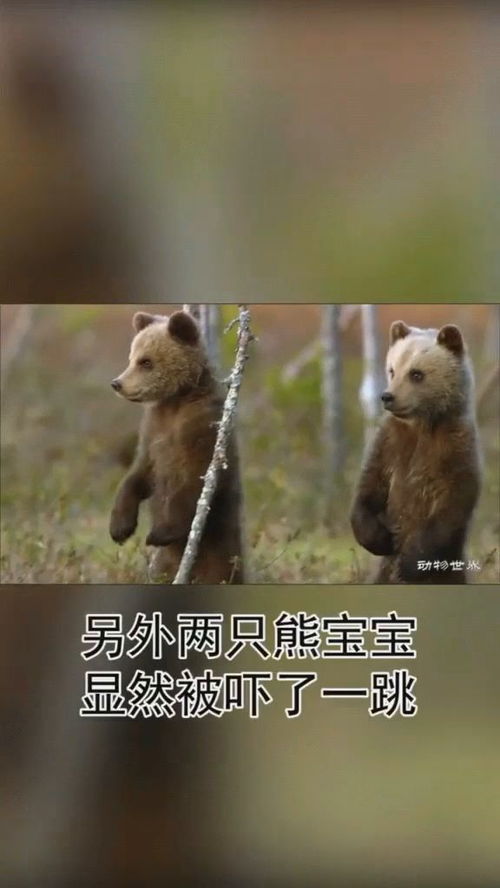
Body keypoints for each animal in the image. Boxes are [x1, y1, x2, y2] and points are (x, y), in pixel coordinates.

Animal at [109, 310, 244, 584]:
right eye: (132, 357)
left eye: (146, 361)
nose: (117, 383)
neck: (176, 401)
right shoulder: (153, 432)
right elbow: (138, 475)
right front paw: (120, 527)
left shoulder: (201, 431)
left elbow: (192, 483)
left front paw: (158, 533)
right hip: (164, 566)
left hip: (222, 557)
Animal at [350, 320, 481, 583]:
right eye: (392, 370)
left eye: (416, 374)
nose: (387, 396)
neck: (422, 425)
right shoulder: (390, 443)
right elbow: (369, 488)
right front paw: (380, 539)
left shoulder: (455, 449)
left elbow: (451, 505)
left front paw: (410, 563)